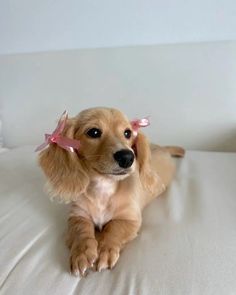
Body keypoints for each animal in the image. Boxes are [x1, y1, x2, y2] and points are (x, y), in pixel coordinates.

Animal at [38, 108, 184, 278]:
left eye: (127, 133)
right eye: (94, 132)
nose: (127, 157)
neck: (103, 188)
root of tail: (163, 148)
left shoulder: (130, 219)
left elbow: (114, 229)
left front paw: (105, 250)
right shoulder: (77, 215)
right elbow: (81, 230)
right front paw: (82, 253)